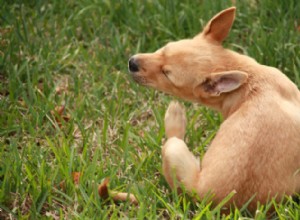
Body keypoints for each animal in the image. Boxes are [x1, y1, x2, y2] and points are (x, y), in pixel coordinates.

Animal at [127, 6, 300, 211]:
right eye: (163, 49)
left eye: (167, 75)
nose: (131, 62)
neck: (249, 78)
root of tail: (209, 201)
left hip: (174, 151)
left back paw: (175, 119)